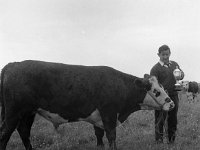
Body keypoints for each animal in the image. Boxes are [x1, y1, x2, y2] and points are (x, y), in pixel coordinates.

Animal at [0, 60, 173, 149]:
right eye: (156, 91)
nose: (171, 104)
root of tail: (13, 64)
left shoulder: (98, 118)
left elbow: (99, 136)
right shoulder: (109, 114)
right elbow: (111, 136)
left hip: (28, 113)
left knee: (24, 131)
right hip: (13, 112)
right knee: (5, 133)